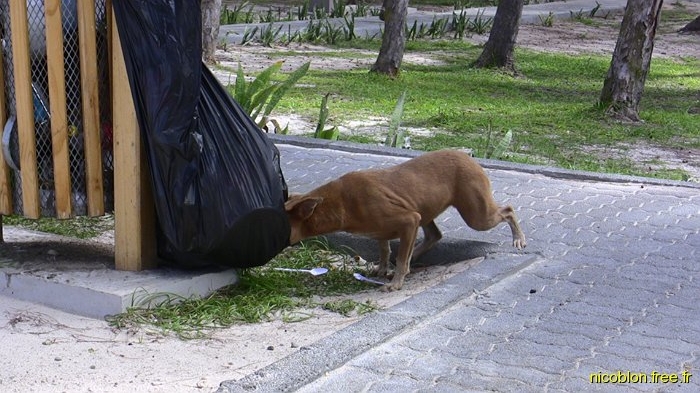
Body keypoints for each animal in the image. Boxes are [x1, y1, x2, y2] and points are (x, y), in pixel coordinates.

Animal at [284, 150, 524, 290]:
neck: (341, 203)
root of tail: (468, 157)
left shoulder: (408, 220)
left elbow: (400, 258)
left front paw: (396, 282)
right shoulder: (385, 229)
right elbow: (385, 250)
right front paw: (382, 269)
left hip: (476, 215)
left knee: (508, 210)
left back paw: (518, 239)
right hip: (426, 209)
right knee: (434, 235)